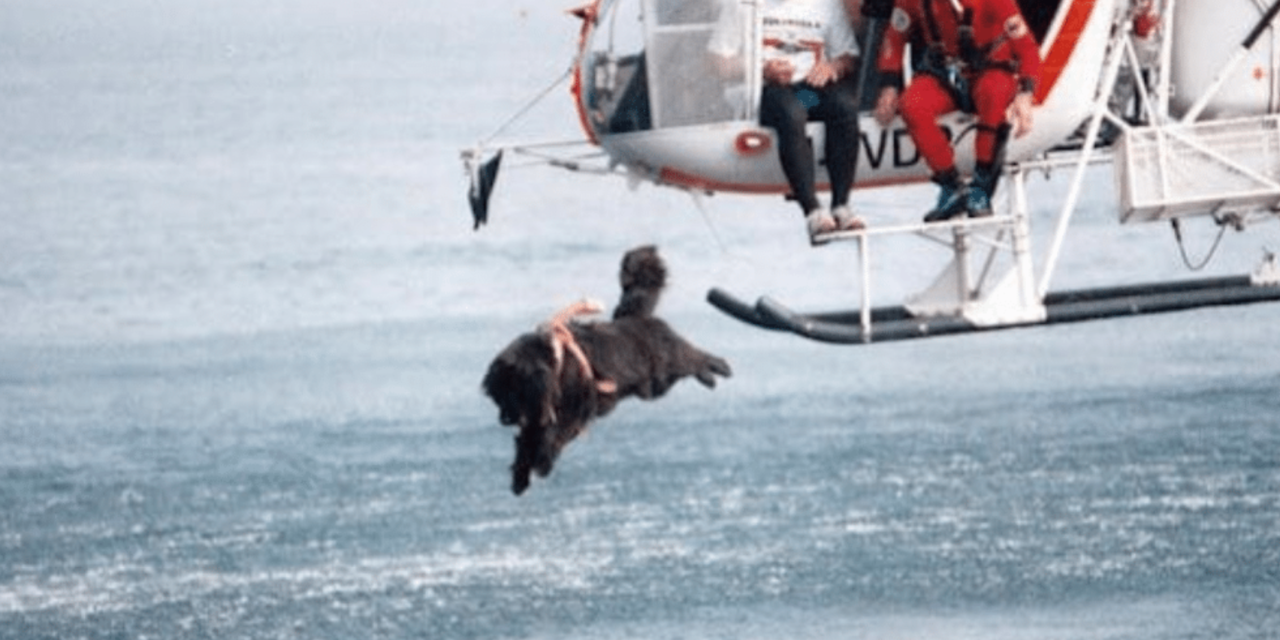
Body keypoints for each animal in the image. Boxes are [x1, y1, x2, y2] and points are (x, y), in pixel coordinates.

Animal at [483, 244, 737, 494]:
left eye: (513, 391)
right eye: (498, 396)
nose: (503, 418)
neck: (556, 362)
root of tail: (636, 317)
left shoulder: (573, 410)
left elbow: (550, 436)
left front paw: (541, 463)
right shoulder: (542, 415)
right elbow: (527, 441)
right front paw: (520, 476)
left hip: (668, 360)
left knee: (694, 357)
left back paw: (721, 366)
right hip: (657, 385)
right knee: (690, 368)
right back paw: (709, 378)